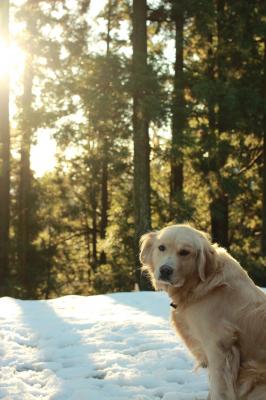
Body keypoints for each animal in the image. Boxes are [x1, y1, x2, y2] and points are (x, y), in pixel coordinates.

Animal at [139, 225, 266, 400]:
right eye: (161, 248)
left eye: (185, 252)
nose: (165, 270)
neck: (198, 284)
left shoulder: (218, 348)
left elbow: (219, 388)